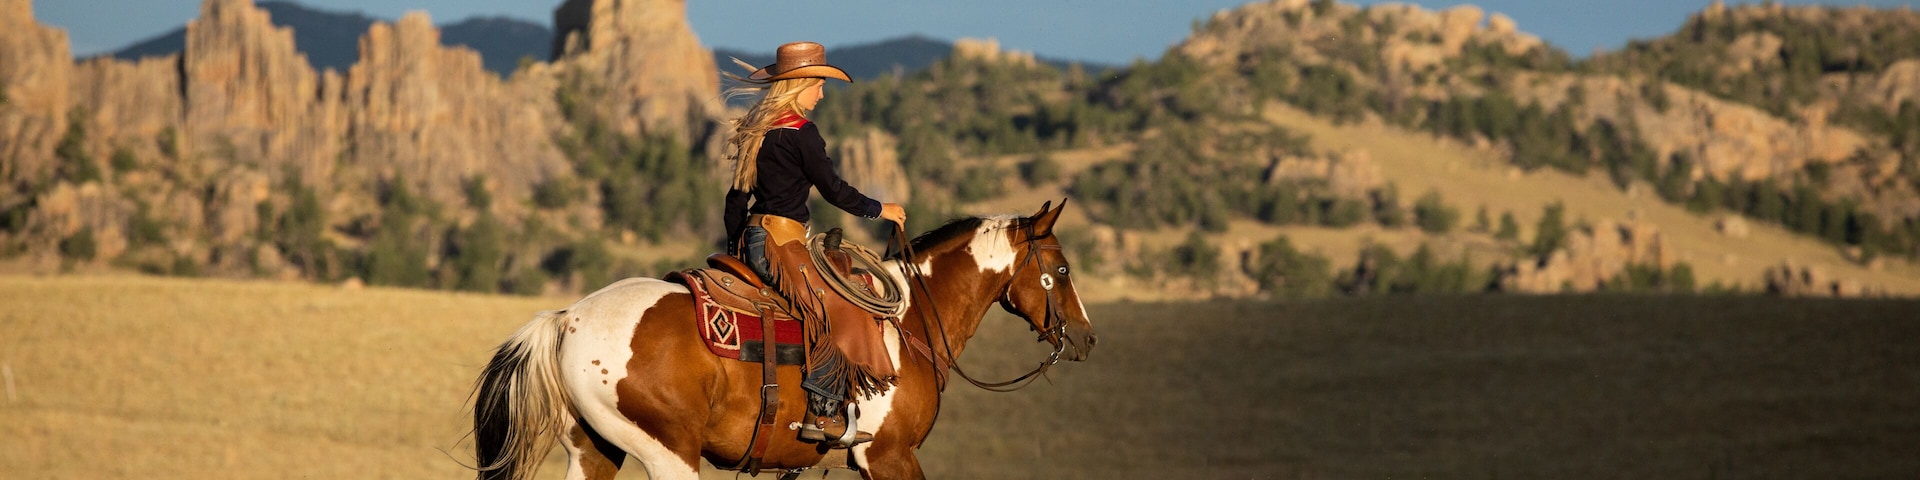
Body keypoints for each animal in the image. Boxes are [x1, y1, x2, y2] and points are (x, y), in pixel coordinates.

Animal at [471, 200, 1098, 480]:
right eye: (1062, 270)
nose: (1087, 338)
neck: (912, 322)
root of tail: (568, 319)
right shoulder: (890, 455)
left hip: (596, 448)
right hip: (669, 453)